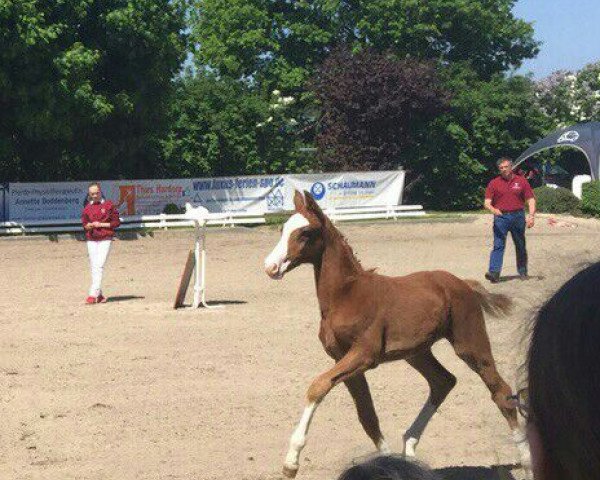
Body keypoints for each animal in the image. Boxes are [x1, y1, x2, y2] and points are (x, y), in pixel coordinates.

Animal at [264, 190, 528, 476]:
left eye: (305, 232)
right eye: (282, 229)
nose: (271, 267)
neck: (345, 296)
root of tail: (464, 284)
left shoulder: (364, 355)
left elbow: (317, 387)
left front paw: (291, 461)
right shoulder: (342, 359)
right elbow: (367, 415)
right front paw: (386, 463)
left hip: (470, 343)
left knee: (500, 391)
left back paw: (526, 459)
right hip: (417, 353)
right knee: (443, 381)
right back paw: (409, 447)